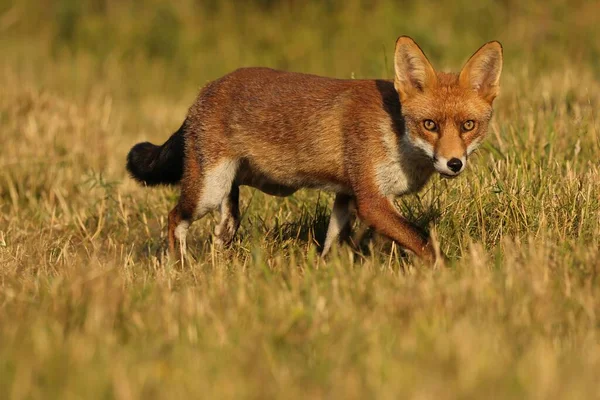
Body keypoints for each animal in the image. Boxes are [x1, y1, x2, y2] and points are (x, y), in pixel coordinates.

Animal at [125, 36, 502, 264]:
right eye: (430, 125)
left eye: (468, 126)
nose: (454, 164)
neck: (396, 135)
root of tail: (204, 91)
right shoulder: (371, 200)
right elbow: (423, 240)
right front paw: (453, 273)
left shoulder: (347, 195)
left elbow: (332, 242)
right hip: (207, 189)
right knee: (175, 218)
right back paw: (181, 269)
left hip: (231, 183)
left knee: (226, 218)